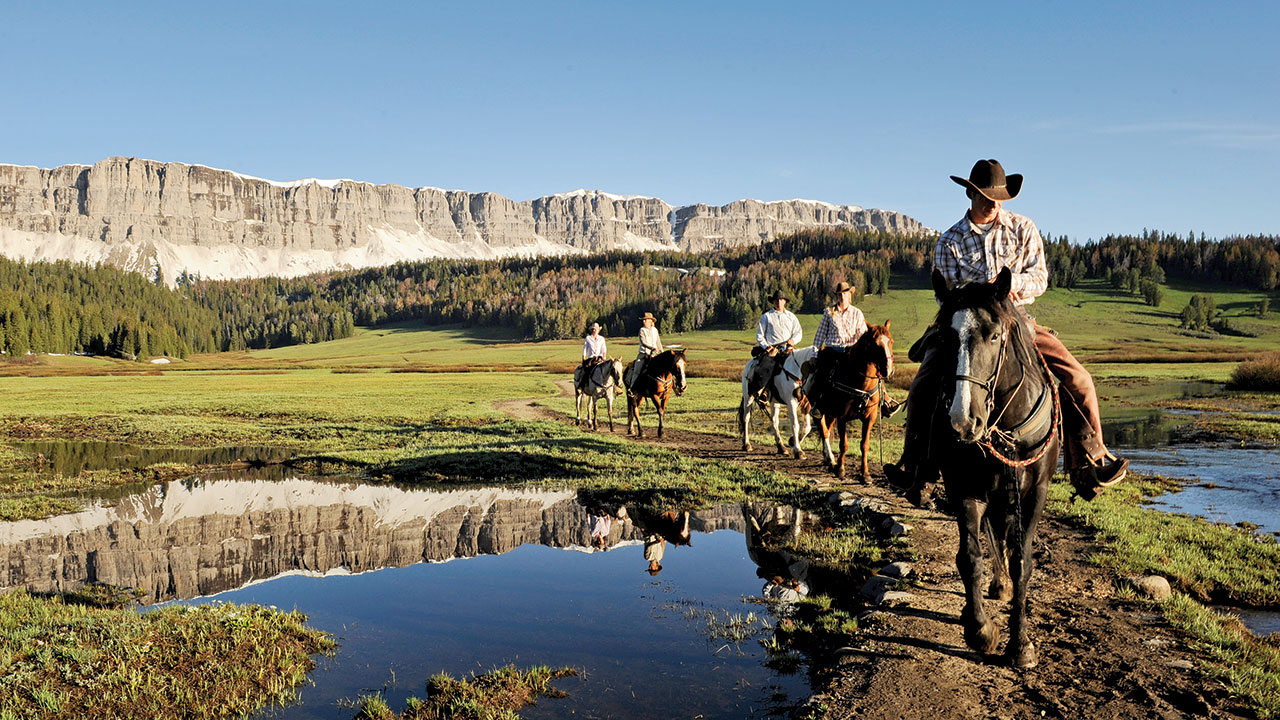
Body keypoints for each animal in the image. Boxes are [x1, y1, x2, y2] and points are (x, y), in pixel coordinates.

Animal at [814, 322, 896, 479]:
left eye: (891, 341)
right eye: (874, 344)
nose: (888, 370)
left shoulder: (870, 417)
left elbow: (864, 445)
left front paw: (865, 474)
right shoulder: (842, 417)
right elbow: (843, 444)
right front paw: (840, 469)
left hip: (831, 413)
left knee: (827, 429)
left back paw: (828, 459)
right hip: (820, 410)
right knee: (823, 431)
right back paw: (830, 459)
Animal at [931, 267, 1059, 666]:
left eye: (994, 335)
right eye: (945, 336)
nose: (962, 422)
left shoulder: (1034, 493)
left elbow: (1022, 561)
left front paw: (1021, 644)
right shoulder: (965, 488)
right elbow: (969, 556)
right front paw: (980, 630)